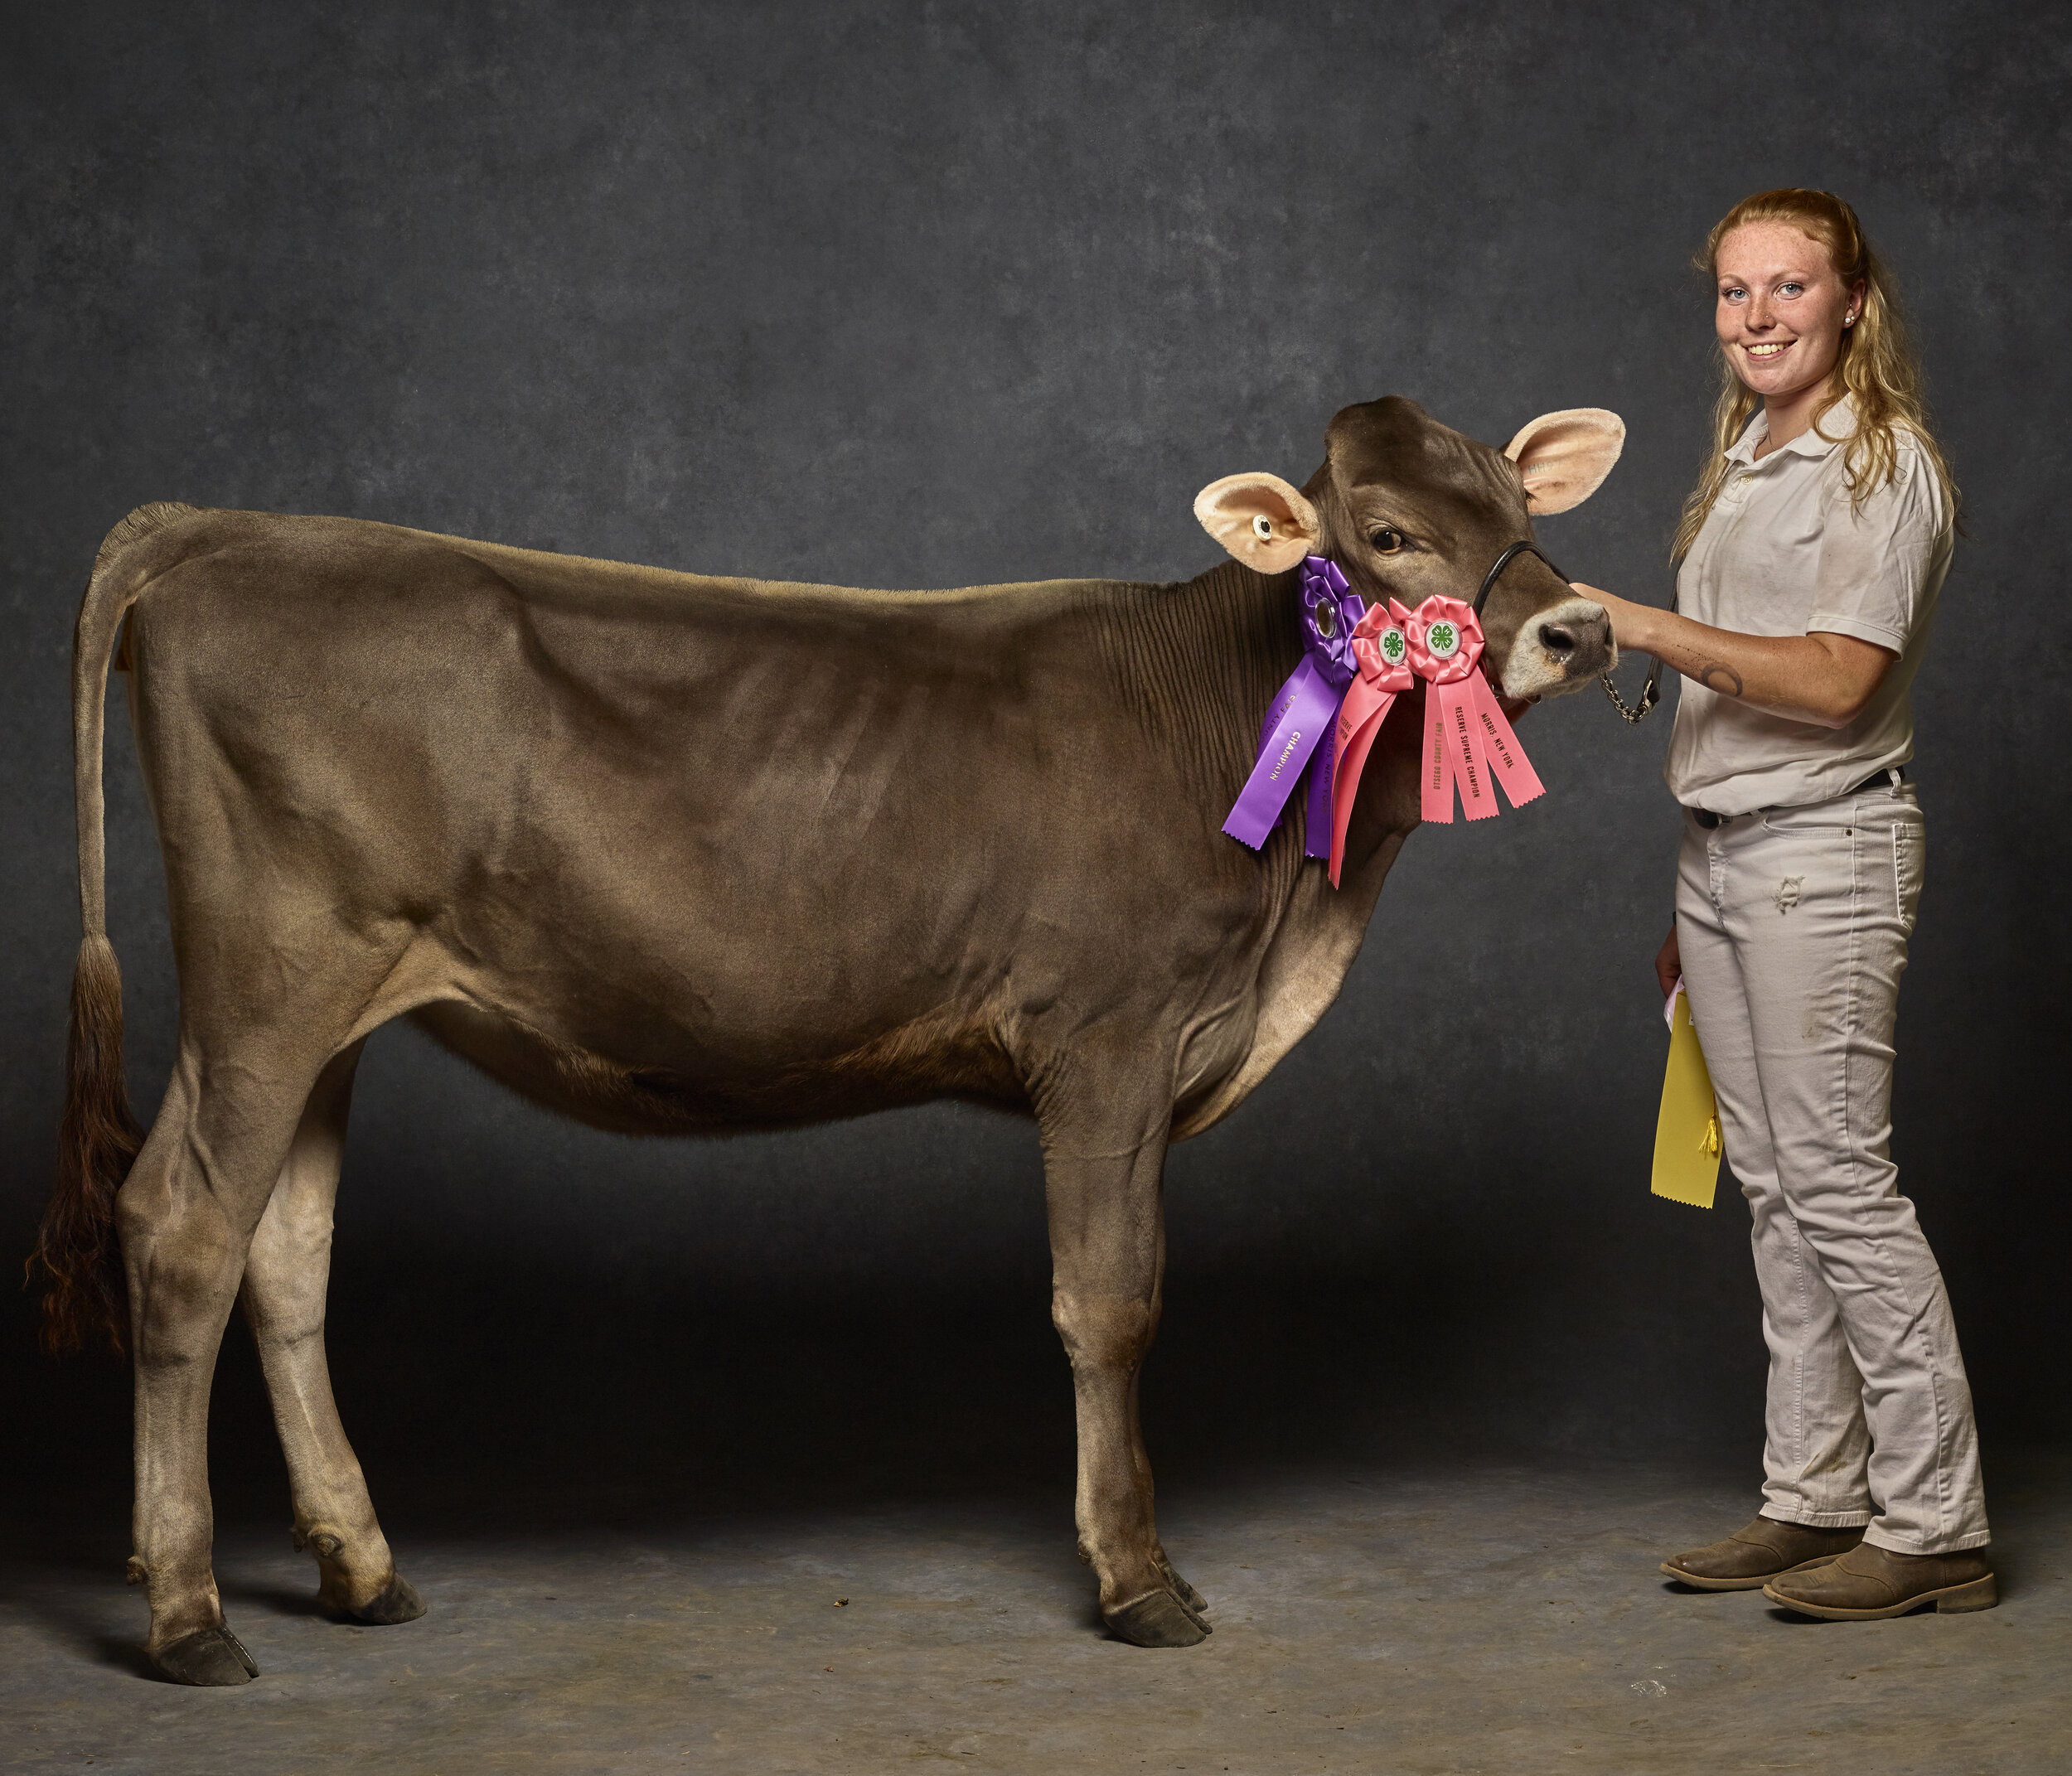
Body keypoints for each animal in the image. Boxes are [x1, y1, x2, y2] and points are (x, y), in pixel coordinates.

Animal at [28, 395, 1616, 1682]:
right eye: (1392, 533)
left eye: (1527, 513)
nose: (1582, 627)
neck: (1298, 899)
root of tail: (230, 529)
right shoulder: (1109, 1036)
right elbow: (1111, 1302)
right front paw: (1140, 1581)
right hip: (270, 977)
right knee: (182, 1230)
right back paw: (187, 1615)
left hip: (334, 1004)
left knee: (283, 1253)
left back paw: (361, 1568)